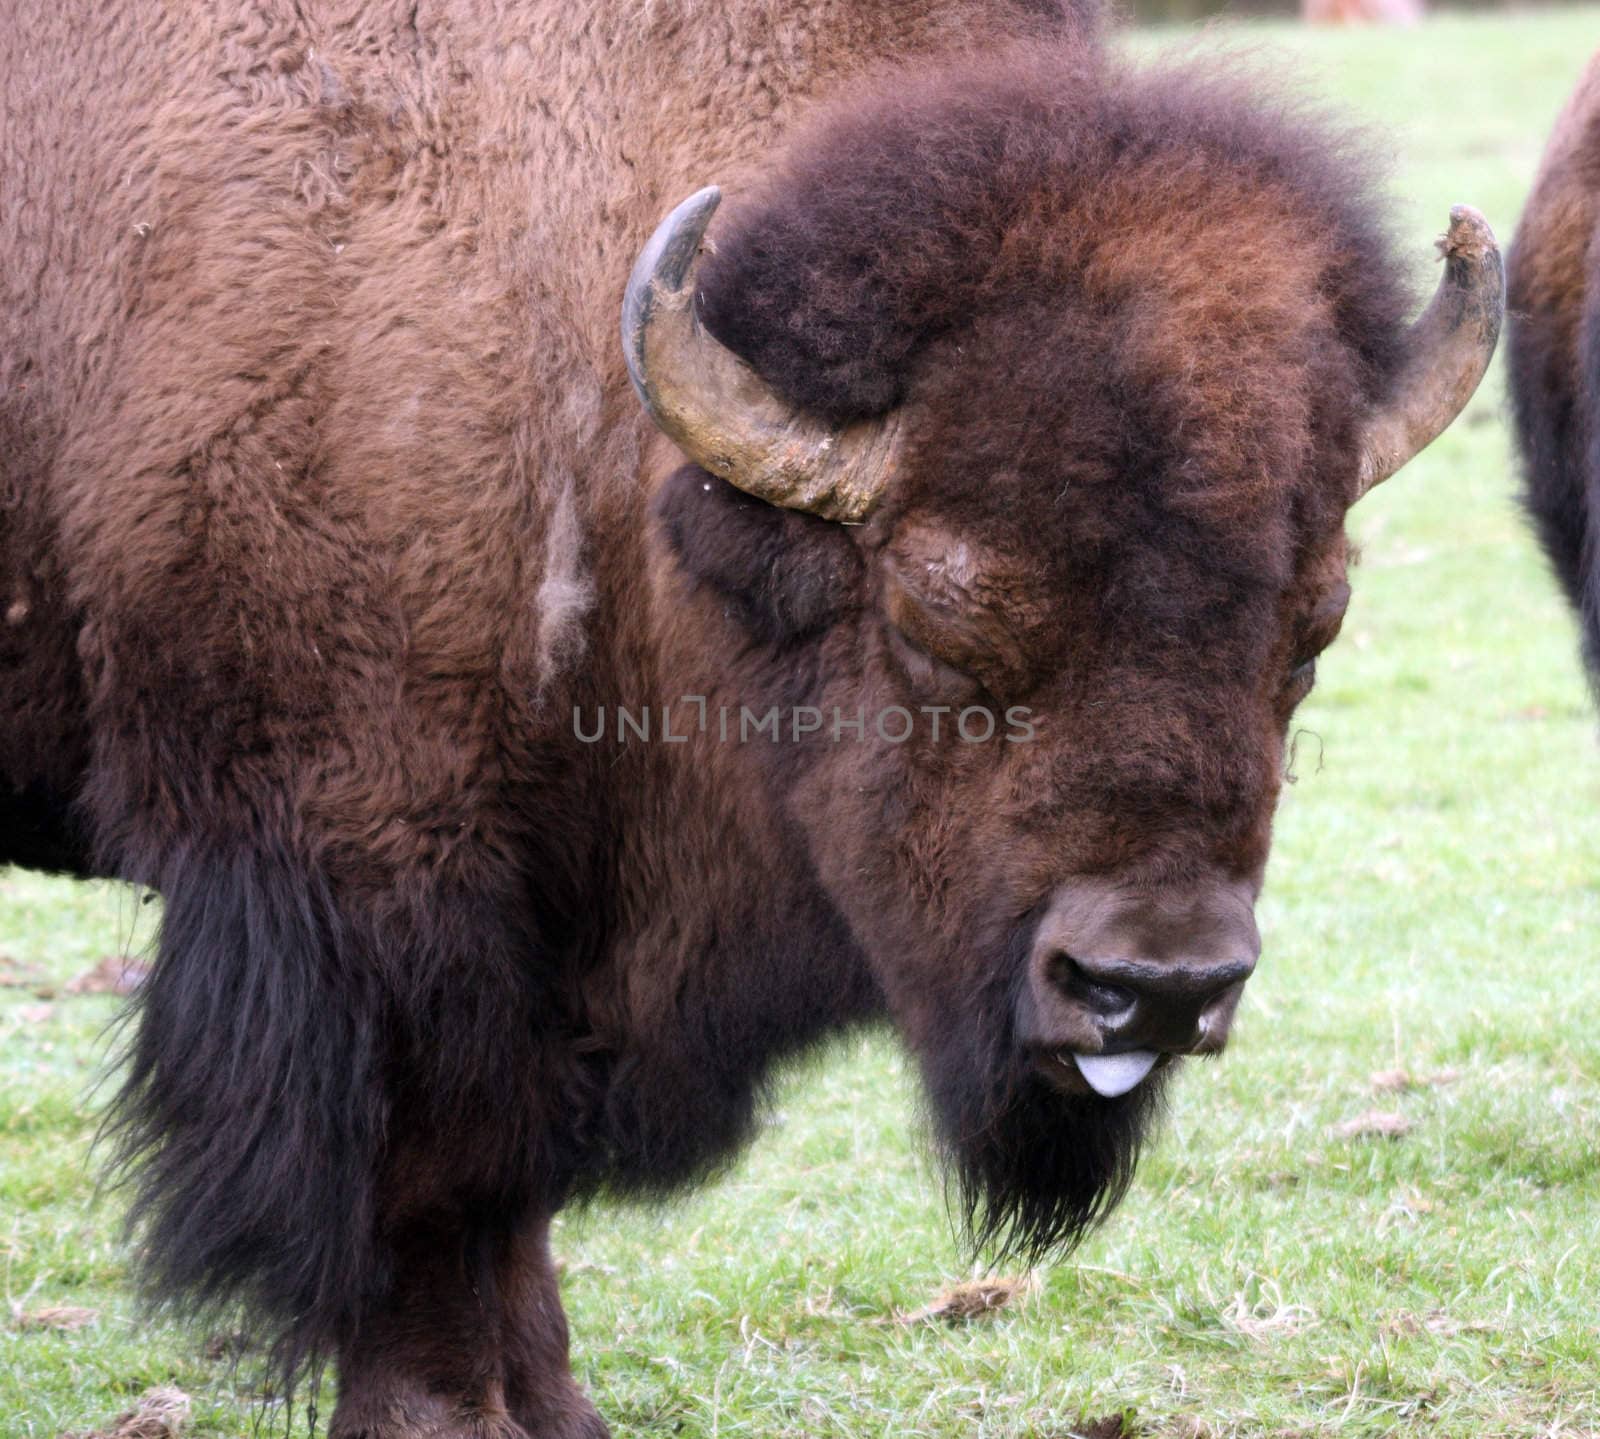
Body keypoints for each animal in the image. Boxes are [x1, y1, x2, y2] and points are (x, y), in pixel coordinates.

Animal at [3, 2, 1497, 1439]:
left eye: (1315, 625)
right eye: (932, 611)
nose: (1157, 982)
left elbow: (510, 1188)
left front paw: (558, 1408)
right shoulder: (379, 875)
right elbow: (430, 1177)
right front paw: (439, 1413)